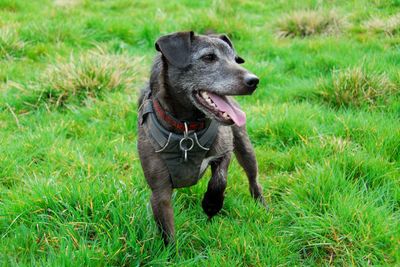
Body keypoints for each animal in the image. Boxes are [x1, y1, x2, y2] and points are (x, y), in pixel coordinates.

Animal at [138, 30, 266, 245]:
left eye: (234, 59)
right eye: (208, 57)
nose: (254, 81)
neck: (186, 129)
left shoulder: (225, 151)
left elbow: (219, 179)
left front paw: (211, 204)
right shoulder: (159, 192)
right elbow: (167, 232)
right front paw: (171, 251)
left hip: (245, 148)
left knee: (253, 179)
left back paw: (262, 206)